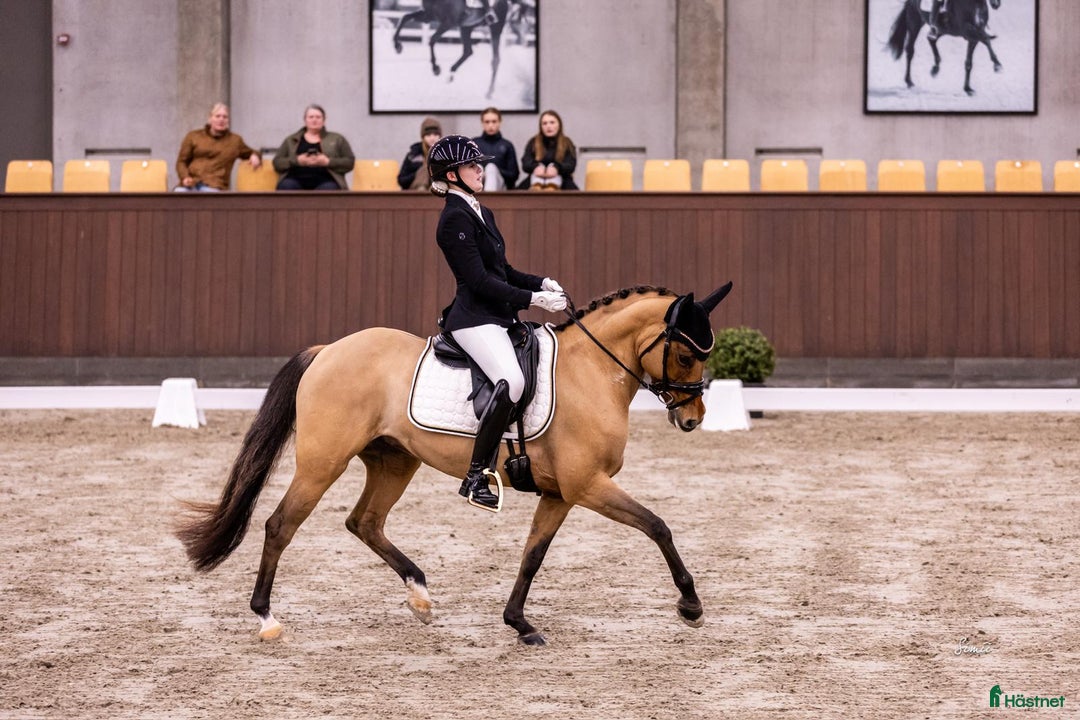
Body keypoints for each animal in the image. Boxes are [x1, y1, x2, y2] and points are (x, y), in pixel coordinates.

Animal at [176, 283, 732, 646]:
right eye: (687, 356)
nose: (692, 419)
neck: (589, 372)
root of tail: (328, 350)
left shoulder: (561, 493)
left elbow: (533, 555)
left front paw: (519, 623)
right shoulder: (587, 486)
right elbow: (657, 526)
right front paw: (691, 606)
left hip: (394, 461)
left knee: (364, 522)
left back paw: (420, 596)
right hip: (322, 463)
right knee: (280, 525)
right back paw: (267, 619)